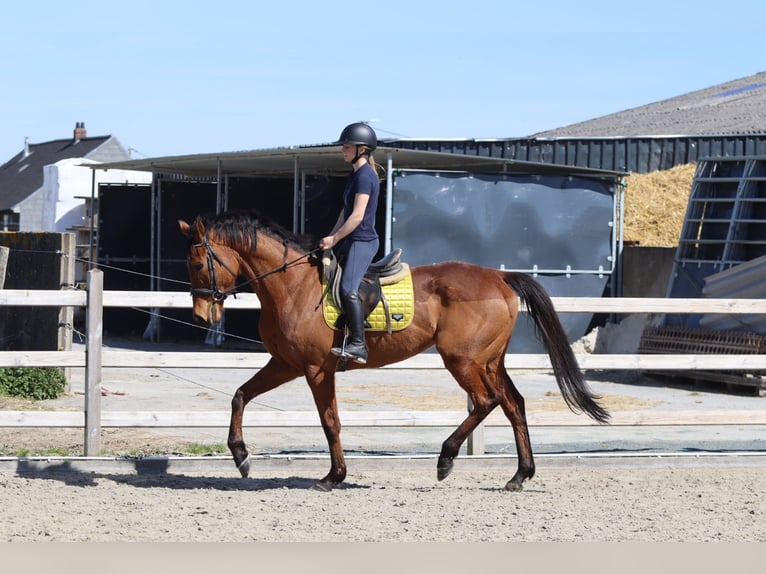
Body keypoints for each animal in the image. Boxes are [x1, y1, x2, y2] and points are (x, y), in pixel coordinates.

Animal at [178, 210, 610, 491]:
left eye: (198, 263)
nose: (200, 316)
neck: (293, 286)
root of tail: (500, 277)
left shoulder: (317, 369)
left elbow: (330, 422)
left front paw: (333, 477)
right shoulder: (286, 363)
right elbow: (240, 395)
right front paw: (240, 456)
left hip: (463, 360)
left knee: (487, 401)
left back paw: (446, 459)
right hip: (488, 360)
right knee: (513, 403)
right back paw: (519, 476)